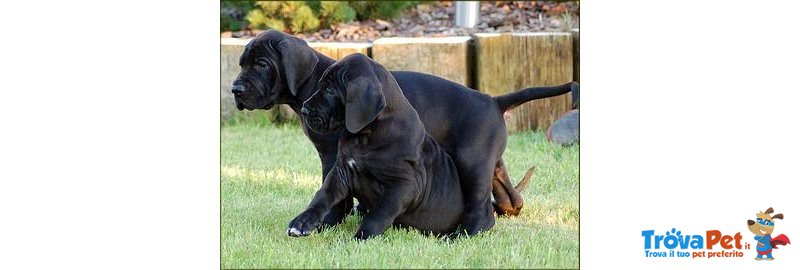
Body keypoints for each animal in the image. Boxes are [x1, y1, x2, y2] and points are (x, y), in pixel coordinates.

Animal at [286, 53, 462, 239]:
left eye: (330, 91)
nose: (304, 110)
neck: (366, 136)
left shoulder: (403, 184)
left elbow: (379, 214)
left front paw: (361, 237)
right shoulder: (341, 172)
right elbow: (322, 196)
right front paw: (303, 221)